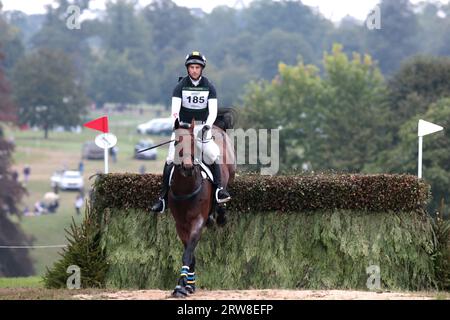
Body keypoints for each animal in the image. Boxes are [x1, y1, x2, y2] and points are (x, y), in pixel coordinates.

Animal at [170, 115, 236, 298]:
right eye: (176, 142)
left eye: (193, 142)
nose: (187, 167)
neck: (186, 187)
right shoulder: (180, 225)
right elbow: (190, 254)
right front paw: (188, 285)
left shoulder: (197, 221)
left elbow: (187, 254)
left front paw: (181, 286)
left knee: (223, 191)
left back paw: (220, 213)